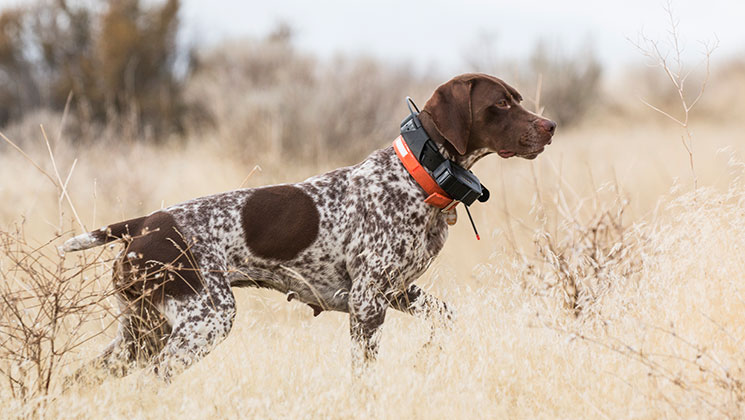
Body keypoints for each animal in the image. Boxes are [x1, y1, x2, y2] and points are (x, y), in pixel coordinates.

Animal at [62, 73, 552, 380]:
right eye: (500, 103)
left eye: (517, 98)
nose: (550, 126)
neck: (418, 176)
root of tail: (147, 223)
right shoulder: (368, 303)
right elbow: (363, 372)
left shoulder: (397, 291)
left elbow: (447, 319)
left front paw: (429, 358)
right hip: (205, 320)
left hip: (142, 332)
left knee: (83, 376)